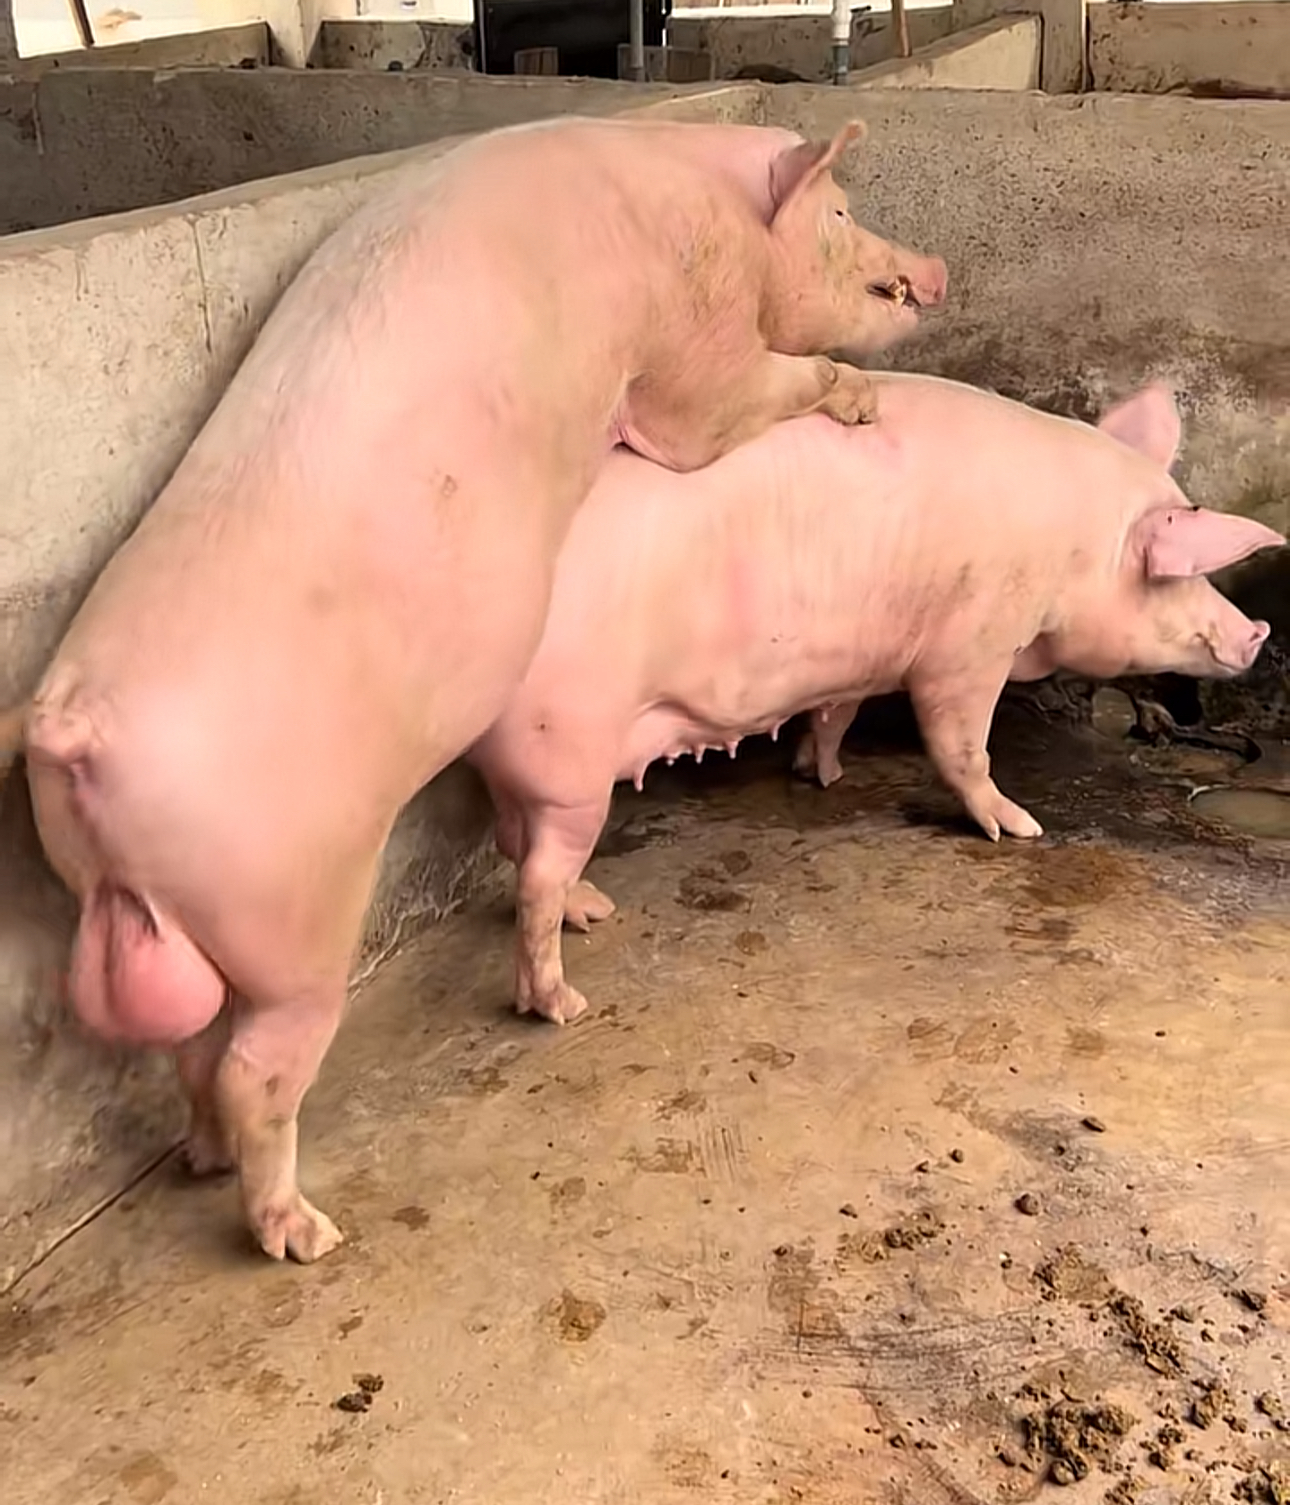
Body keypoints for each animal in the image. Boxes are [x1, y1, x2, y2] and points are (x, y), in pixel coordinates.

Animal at [0, 114, 946, 1265]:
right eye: (842, 210)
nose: (935, 269)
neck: (710, 208)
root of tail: (70, 725)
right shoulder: (692, 356)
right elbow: (728, 408)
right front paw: (856, 397)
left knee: (191, 1050)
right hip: (290, 915)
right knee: (254, 1068)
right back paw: (309, 1231)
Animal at [466, 376, 1282, 1027]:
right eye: (1177, 574)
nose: (1256, 632)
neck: (1073, 548)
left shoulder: (854, 665)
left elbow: (836, 715)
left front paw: (823, 776)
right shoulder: (971, 643)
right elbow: (961, 744)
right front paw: (1019, 828)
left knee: (515, 841)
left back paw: (592, 907)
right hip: (569, 752)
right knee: (537, 876)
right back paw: (564, 1002)